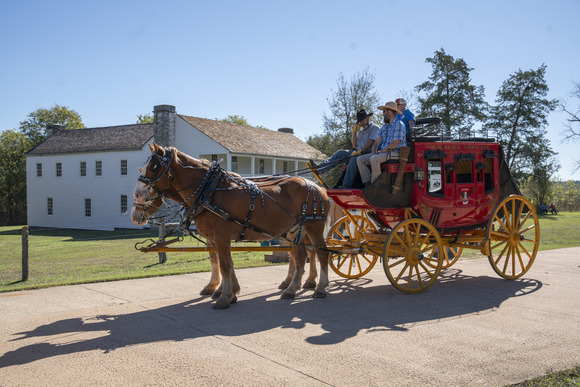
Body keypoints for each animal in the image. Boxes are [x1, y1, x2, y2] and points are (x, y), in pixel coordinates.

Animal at [131, 144, 330, 310]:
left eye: (154, 166)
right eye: (142, 167)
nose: (137, 196)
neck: (208, 190)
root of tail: (318, 187)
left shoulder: (221, 235)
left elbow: (225, 264)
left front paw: (224, 297)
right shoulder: (213, 238)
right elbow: (220, 262)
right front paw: (228, 291)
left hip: (313, 227)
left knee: (321, 253)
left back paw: (320, 287)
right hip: (295, 231)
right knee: (301, 256)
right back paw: (291, 288)